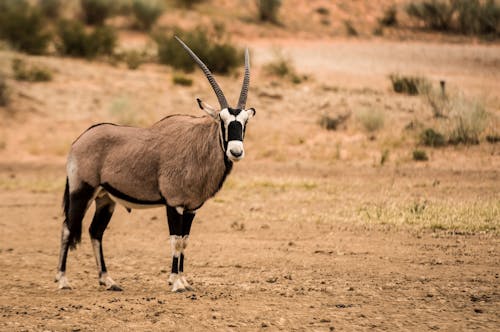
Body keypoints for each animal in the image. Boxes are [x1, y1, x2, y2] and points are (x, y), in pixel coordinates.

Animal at [56, 35, 256, 292]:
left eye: (244, 122)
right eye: (222, 120)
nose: (235, 151)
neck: (198, 145)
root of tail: (79, 140)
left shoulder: (191, 208)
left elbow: (185, 241)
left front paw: (183, 280)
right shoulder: (174, 204)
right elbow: (176, 240)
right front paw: (176, 283)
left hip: (105, 199)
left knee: (95, 232)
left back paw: (108, 280)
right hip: (82, 191)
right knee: (68, 228)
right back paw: (63, 280)